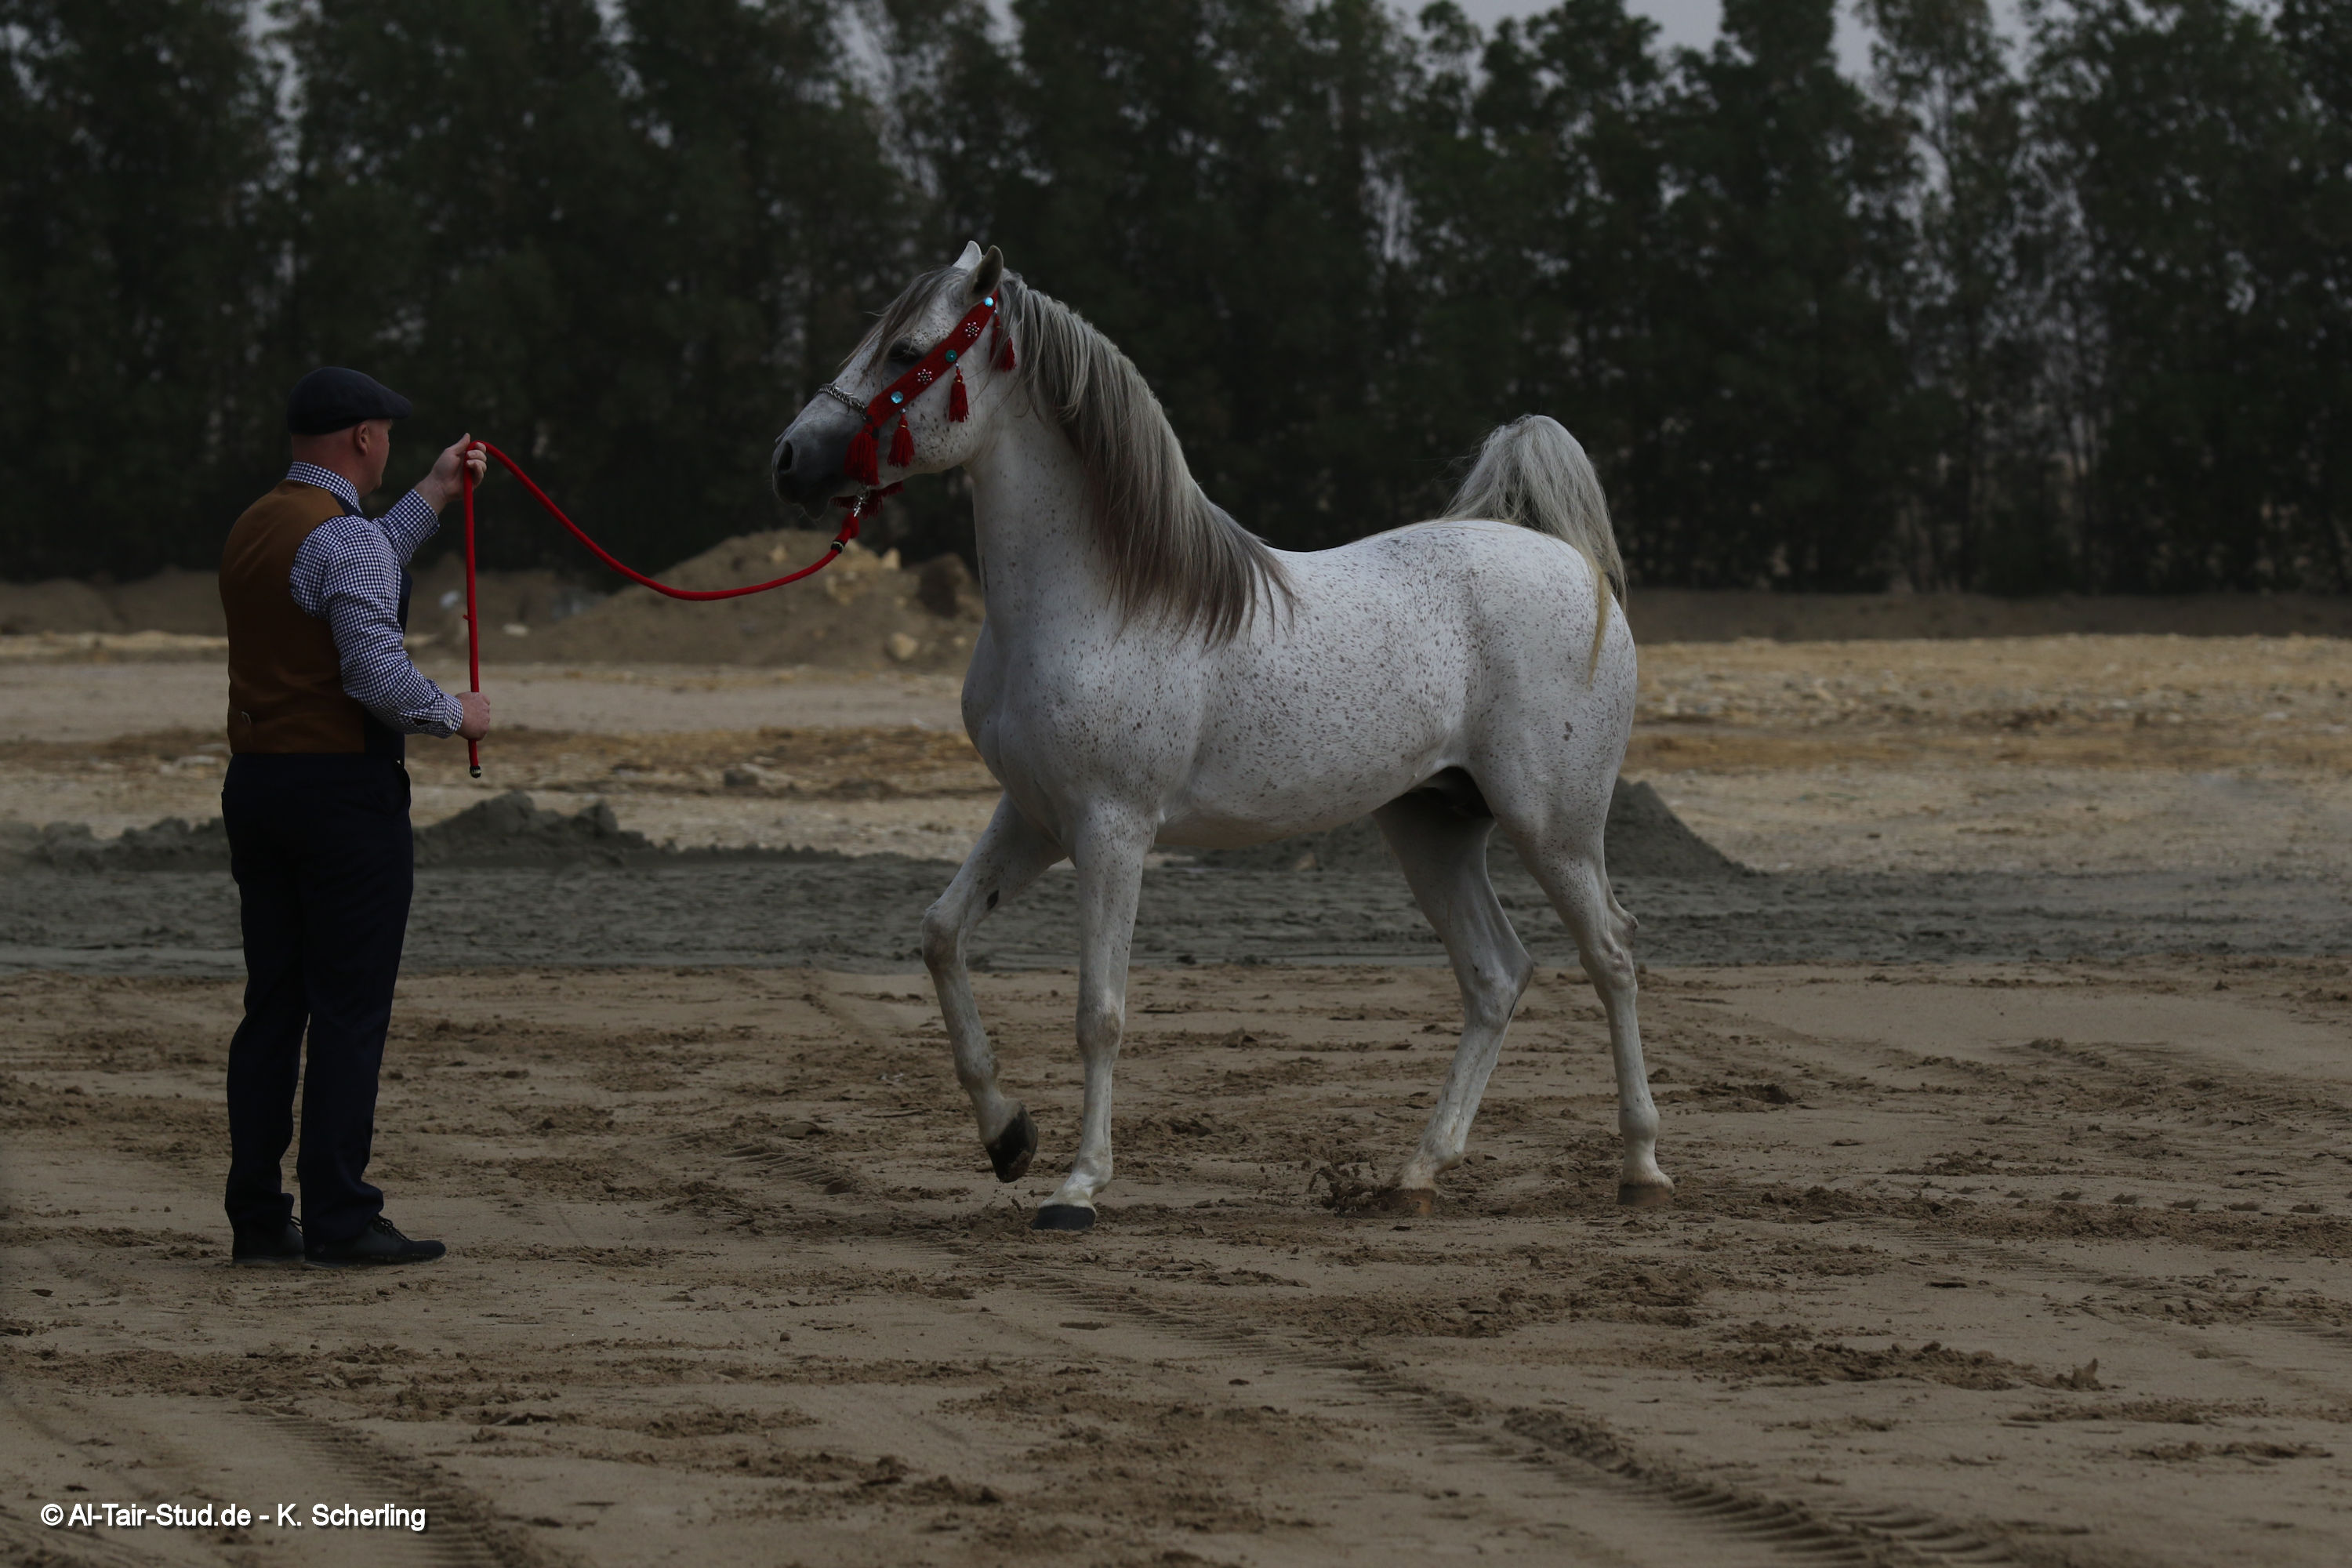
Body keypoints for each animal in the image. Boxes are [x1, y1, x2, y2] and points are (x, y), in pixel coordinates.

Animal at [772, 242, 1668, 1230]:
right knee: (1496, 975)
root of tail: (1570, 564)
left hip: (1553, 826)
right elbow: (941, 935)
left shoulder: (1111, 829)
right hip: (1432, 827)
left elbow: (1100, 1009)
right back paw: (1418, 1171)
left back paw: (1640, 1166)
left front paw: (1077, 1186)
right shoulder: (1034, 817)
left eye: (905, 351)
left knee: (1611, 953)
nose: (789, 458)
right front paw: (1008, 1136)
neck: (1095, 600)